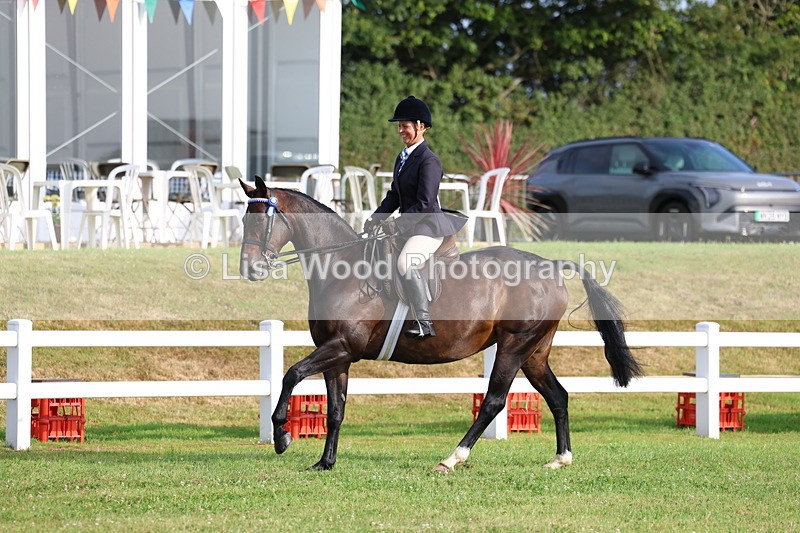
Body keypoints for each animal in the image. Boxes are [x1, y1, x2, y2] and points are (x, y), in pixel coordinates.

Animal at [239, 176, 643, 472]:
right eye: (244, 219)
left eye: (261, 219)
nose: (250, 269)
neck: (343, 268)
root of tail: (553, 266)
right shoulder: (339, 355)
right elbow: (336, 409)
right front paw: (325, 463)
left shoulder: (341, 346)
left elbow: (291, 373)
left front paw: (282, 436)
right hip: (535, 351)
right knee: (558, 395)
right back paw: (560, 459)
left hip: (514, 345)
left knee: (493, 401)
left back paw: (451, 459)